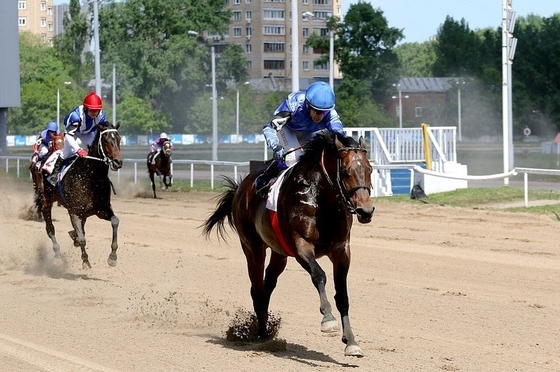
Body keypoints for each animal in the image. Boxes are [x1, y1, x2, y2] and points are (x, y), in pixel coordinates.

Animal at [37, 122, 124, 268]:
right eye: (106, 140)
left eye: (119, 139)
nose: (118, 162)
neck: (91, 177)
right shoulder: (75, 212)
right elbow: (82, 238)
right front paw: (85, 261)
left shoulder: (102, 210)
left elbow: (115, 221)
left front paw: (113, 257)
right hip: (46, 201)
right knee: (50, 229)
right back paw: (57, 254)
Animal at [202, 131, 376, 358]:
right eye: (346, 171)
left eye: (370, 169)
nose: (366, 211)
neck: (321, 200)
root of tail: (241, 188)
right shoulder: (301, 245)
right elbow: (319, 275)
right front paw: (328, 319)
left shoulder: (341, 250)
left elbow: (343, 296)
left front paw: (352, 342)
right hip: (252, 247)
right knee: (256, 288)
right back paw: (262, 335)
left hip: (280, 253)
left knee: (267, 285)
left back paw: (265, 331)